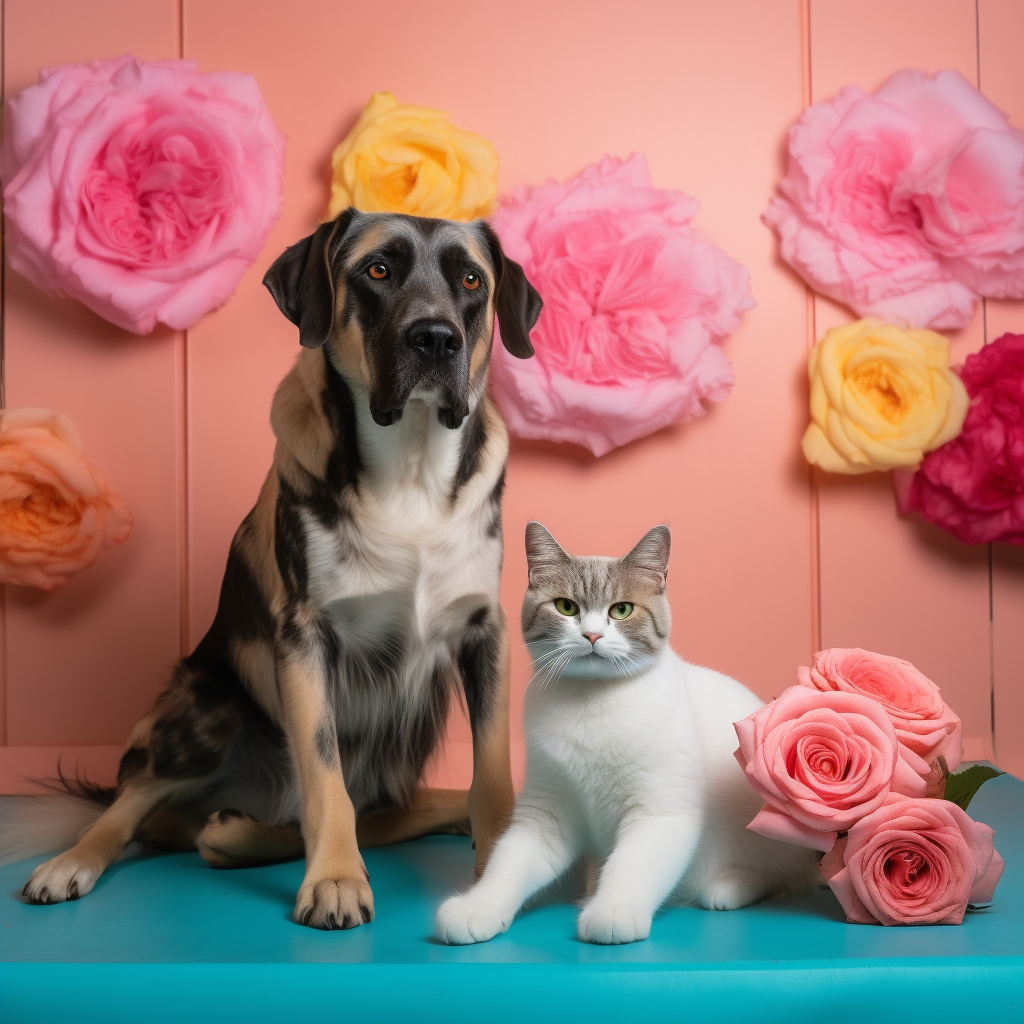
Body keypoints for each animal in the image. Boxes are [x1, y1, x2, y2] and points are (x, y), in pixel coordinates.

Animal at [16, 207, 544, 929]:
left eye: (470, 280)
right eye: (379, 269)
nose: (436, 338)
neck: (409, 469)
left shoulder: (483, 634)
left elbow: (490, 774)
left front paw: (498, 867)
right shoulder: (304, 637)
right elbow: (323, 775)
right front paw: (335, 879)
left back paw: (241, 830)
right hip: (206, 707)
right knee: (136, 807)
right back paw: (85, 859)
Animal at [436, 524, 819, 946]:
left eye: (621, 610)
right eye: (566, 607)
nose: (591, 635)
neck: (591, 704)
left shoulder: (659, 811)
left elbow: (632, 864)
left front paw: (612, 909)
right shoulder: (546, 812)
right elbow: (509, 862)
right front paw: (478, 906)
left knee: (786, 876)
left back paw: (731, 886)